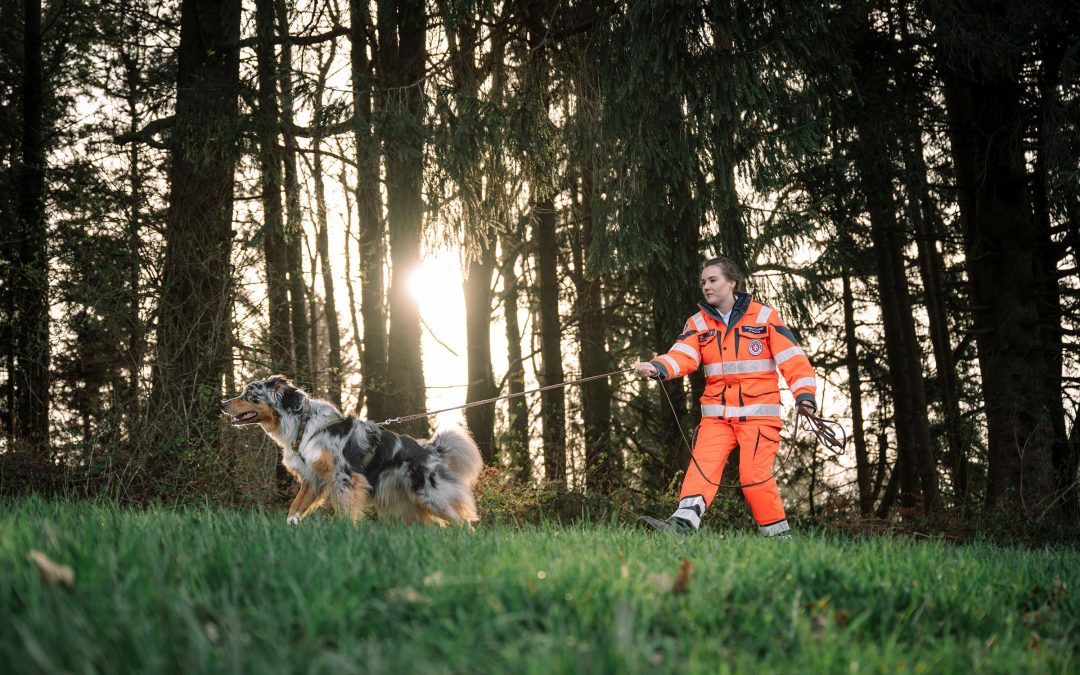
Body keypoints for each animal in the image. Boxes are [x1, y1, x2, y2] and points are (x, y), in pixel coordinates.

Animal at [219, 373, 481, 527]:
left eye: (249, 394)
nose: (221, 404)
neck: (304, 425)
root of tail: (433, 450)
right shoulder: (313, 478)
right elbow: (295, 508)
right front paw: (290, 528)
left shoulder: (345, 477)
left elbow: (344, 511)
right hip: (407, 503)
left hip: (430, 495)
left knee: (464, 523)